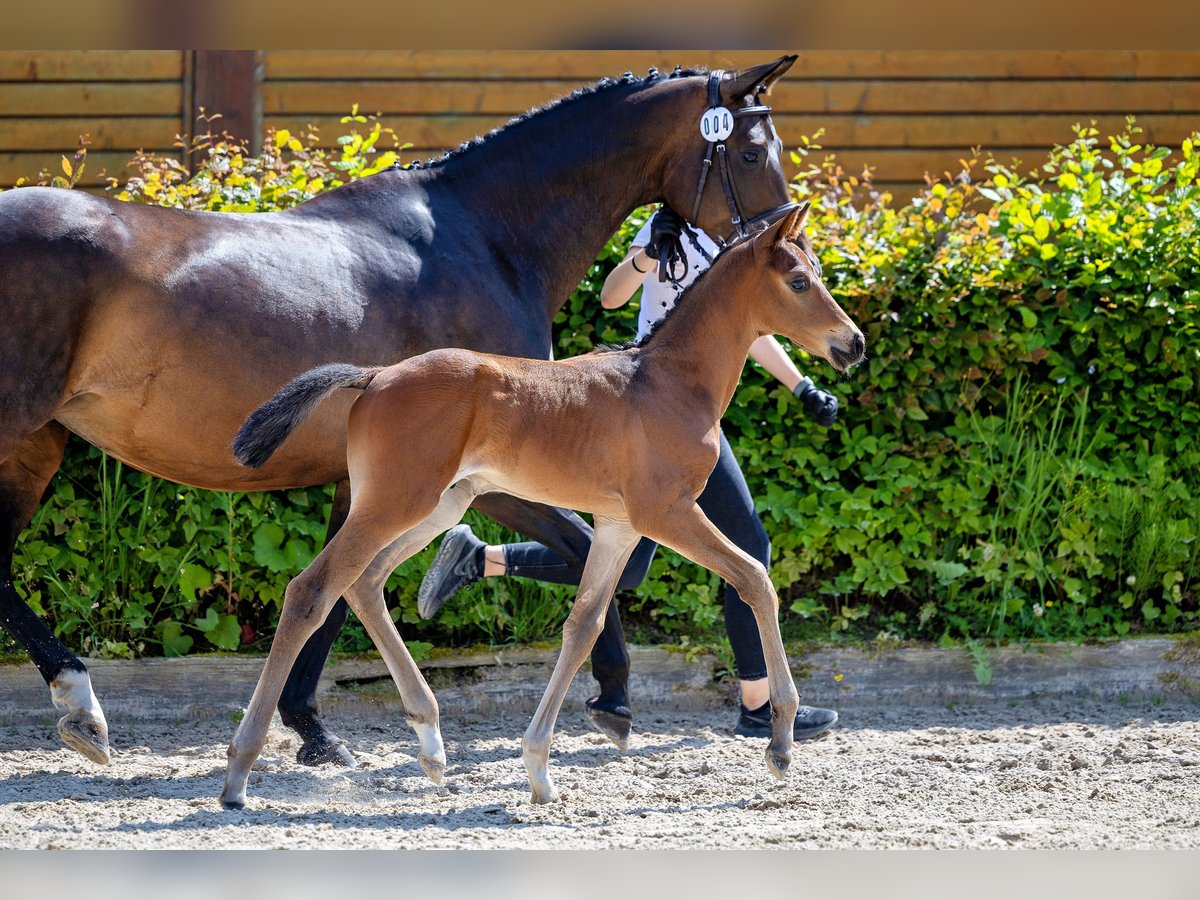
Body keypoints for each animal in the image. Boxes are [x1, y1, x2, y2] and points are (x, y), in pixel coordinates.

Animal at [223, 206, 864, 811]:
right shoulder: (667, 512)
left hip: (438, 506)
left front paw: (538, 769)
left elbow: (583, 624)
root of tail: (375, 376)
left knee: (364, 583)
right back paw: (239, 773)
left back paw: (431, 745)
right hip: (394, 503)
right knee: (312, 590)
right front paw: (780, 744)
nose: (853, 343)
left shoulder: (619, 525)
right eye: (800, 281)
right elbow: (755, 579)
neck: (668, 384)